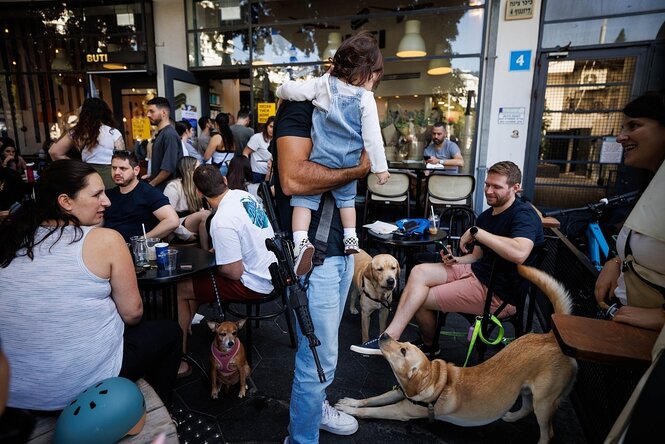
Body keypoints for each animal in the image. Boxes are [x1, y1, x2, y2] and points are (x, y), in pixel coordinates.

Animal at [338, 266, 576, 442]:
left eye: (403, 350)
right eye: (403, 342)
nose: (385, 335)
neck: (434, 380)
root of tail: (552, 336)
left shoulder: (401, 411)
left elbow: (373, 411)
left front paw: (352, 411)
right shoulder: (399, 393)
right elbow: (371, 400)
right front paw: (351, 402)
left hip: (545, 401)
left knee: (548, 432)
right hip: (528, 391)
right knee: (526, 407)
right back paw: (511, 416)